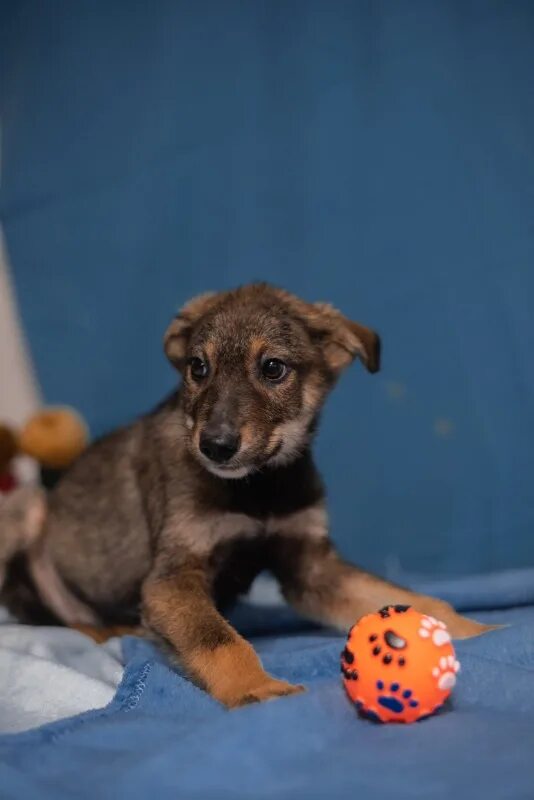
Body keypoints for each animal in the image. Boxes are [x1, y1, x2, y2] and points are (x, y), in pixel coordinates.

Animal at [4, 286, 492, 708]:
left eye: (273, 368)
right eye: (198, 368)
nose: (215, 447)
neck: (257, 488)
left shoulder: (310, 567)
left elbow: (403, 596)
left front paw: (477, 628)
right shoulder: (172, 578)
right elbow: (218, 640)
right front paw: (255, 688)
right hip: (31, 526)